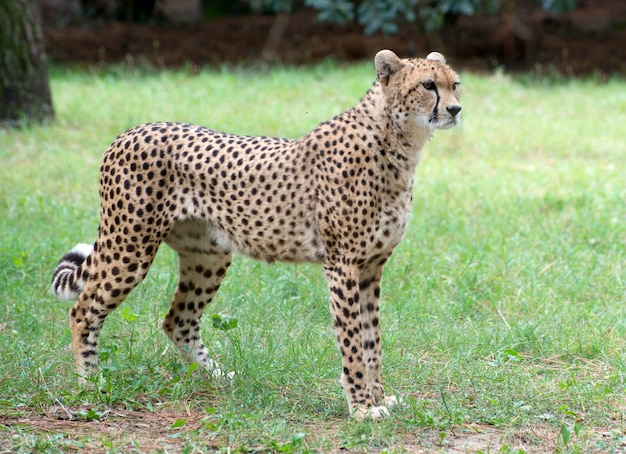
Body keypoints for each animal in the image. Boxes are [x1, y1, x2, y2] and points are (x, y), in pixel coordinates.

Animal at [52, 49, 458, 418]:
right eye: (428, 85)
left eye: (455, 84)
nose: (455, 109)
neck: (397, 142)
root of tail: (129, 132)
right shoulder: (343, 265)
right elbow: (353, 342)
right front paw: (361, 407)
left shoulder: (372, 267)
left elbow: (373, 341)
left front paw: (379, 398)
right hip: (129, 248)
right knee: (82, 310)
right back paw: (91, 383)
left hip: (210, 254)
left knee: (178, 320)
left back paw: (218, 377)